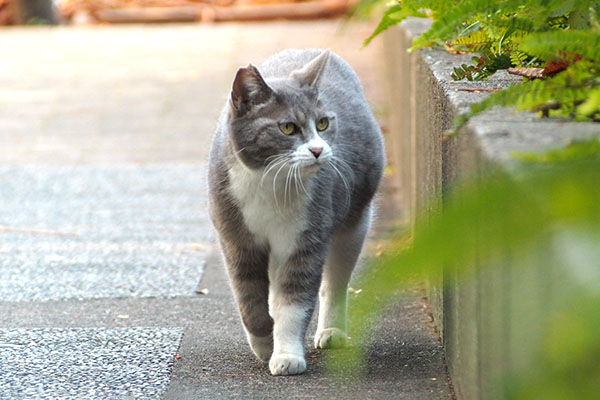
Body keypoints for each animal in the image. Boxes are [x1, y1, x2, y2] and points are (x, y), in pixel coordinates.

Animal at [207, 49, 384, 376]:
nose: (318, 150)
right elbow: (249, 301)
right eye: (287, 127)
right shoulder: (236, 239)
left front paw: (287, 355)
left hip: (355, 221)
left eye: (323, 123)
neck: (270, 183)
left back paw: (331, 331)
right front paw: (265, 345)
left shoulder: (305, 240)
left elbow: (294, 302)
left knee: (335, 282)